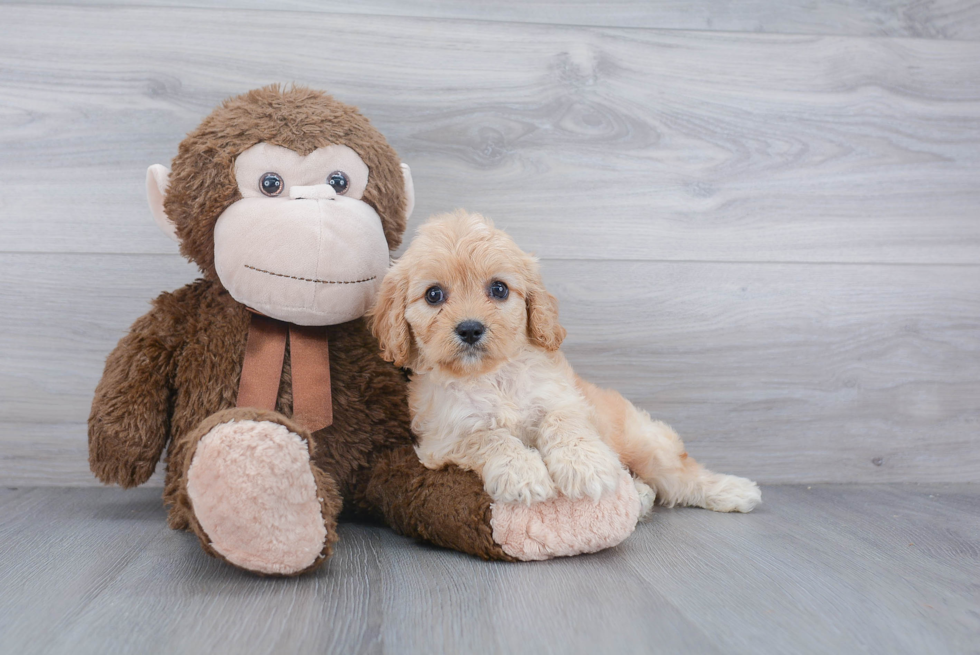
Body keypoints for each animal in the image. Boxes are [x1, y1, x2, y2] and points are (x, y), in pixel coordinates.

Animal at [372, 211, 760, 516]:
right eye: (434, 295)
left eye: (499, 289)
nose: (470, 329)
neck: (493, 376)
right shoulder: (443, 440)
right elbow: (489, 437)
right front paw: (523, 474)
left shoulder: (564, 398)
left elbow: (563, 422)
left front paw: (584, 467)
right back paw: (640, 495)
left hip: (644, 442)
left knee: (679, 474)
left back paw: (733, 490)